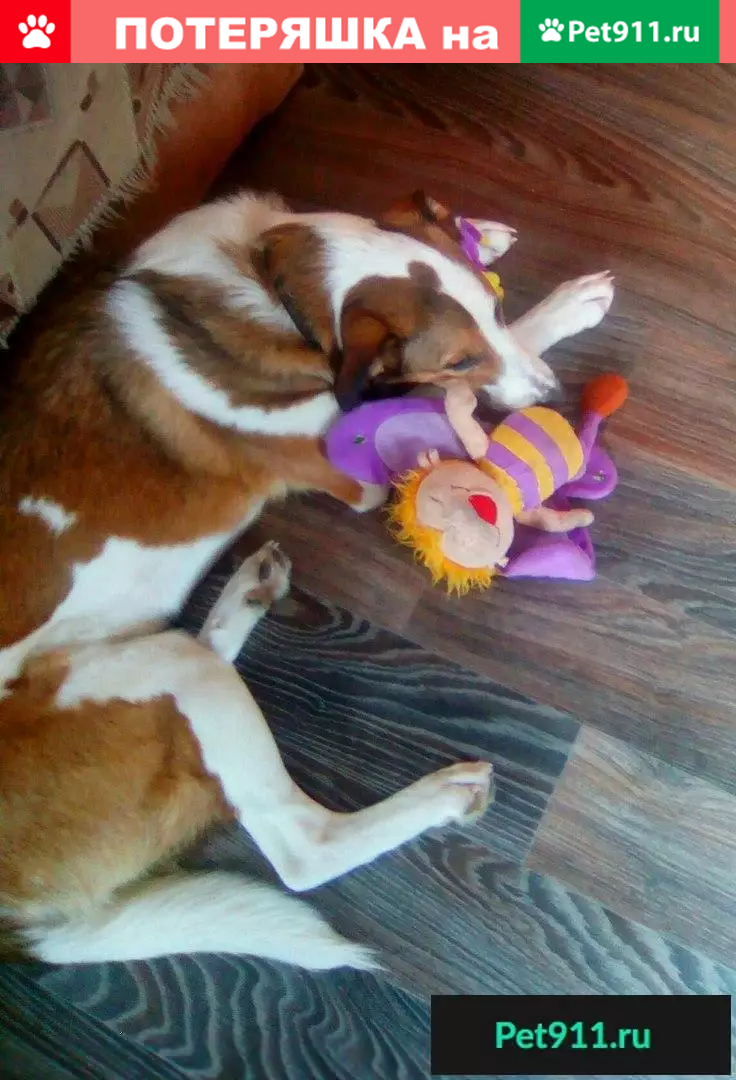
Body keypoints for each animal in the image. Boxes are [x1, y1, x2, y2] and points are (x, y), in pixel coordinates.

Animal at [0, 190, 614, 970]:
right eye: (460, 358)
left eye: (496, 312)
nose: (548, 393)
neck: (274, 284)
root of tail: (15, 920)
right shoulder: (357, 470)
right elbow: (431, 403)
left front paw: (493, 246)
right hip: (147, 679)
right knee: (302, 847)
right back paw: (444, 794)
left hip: (149, 659)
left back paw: (244, 595)